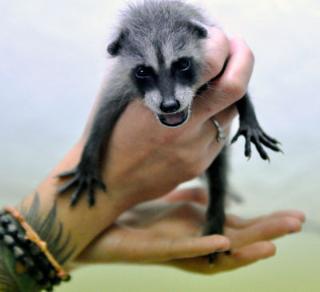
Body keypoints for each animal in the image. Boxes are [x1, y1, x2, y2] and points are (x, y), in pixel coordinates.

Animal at [57, 0, 280, 260]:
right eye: (143, 71)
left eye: (182, 64)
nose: (170, 105)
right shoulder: (118, 81)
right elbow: (103, 114)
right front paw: (89, 158)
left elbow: (239, 89)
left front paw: (249, 116)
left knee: (218, 176)